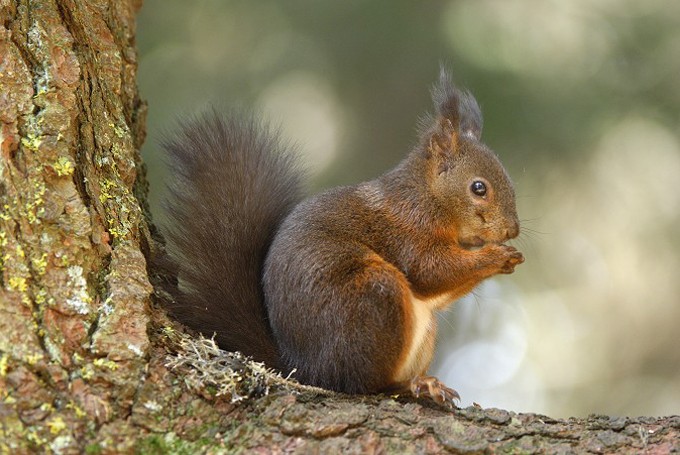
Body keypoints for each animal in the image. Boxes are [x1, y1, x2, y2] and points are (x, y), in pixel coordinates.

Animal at [161, 68, 524, 406]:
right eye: (478, 188)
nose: (513, 230)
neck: (427, 196)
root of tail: (305, 368)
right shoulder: (406, 228)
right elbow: (429, 270)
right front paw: (498, 256)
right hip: (375, 297)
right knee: (363, 383)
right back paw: (412, 385)